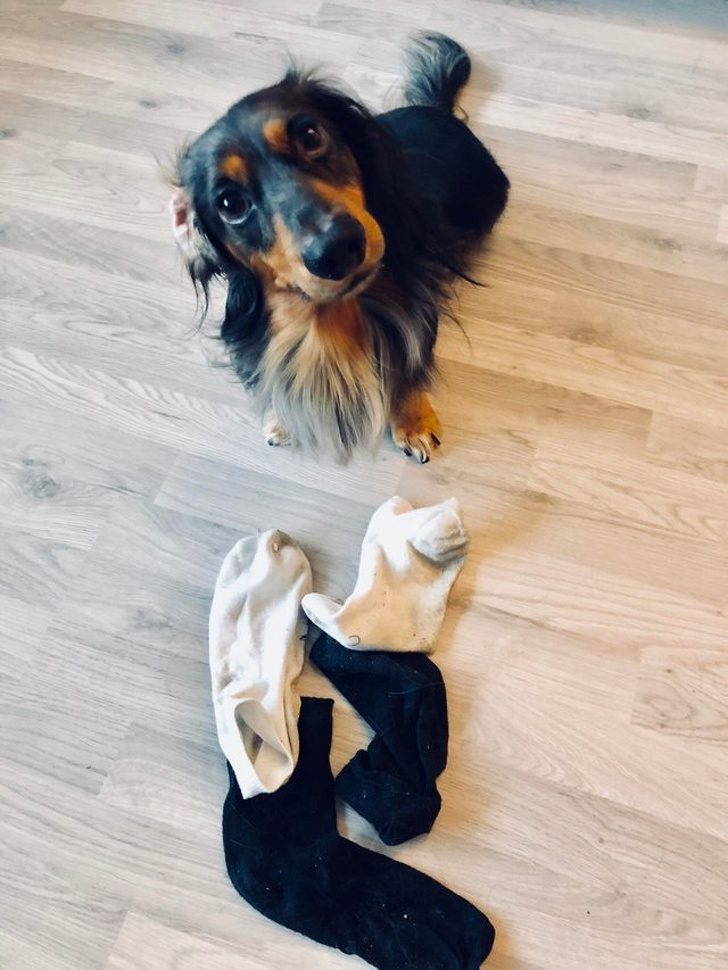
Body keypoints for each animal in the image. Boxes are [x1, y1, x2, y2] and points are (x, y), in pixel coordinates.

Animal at [171, 33, 509, 462]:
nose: (337, 250)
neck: (325, 316)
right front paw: (282, 419)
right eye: (230, 203)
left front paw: (414, 423)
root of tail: (438, 110)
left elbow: (410, 365)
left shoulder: (417, 308)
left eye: (311, 136)